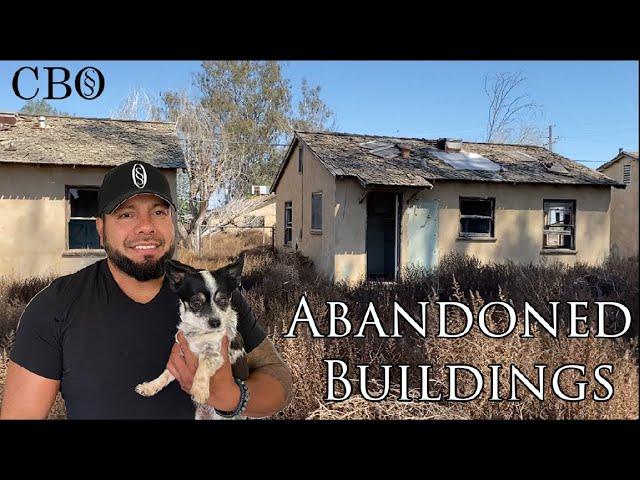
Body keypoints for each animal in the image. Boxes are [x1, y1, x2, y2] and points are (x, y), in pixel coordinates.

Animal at [134, 253, 248, 418]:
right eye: (196, 303)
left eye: (223, 300)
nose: (216, 322)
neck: (198, 331)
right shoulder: (180, 355)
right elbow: (165, 374)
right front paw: (150, 386)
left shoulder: (215, 353)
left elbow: (203, 363)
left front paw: (199, 389)